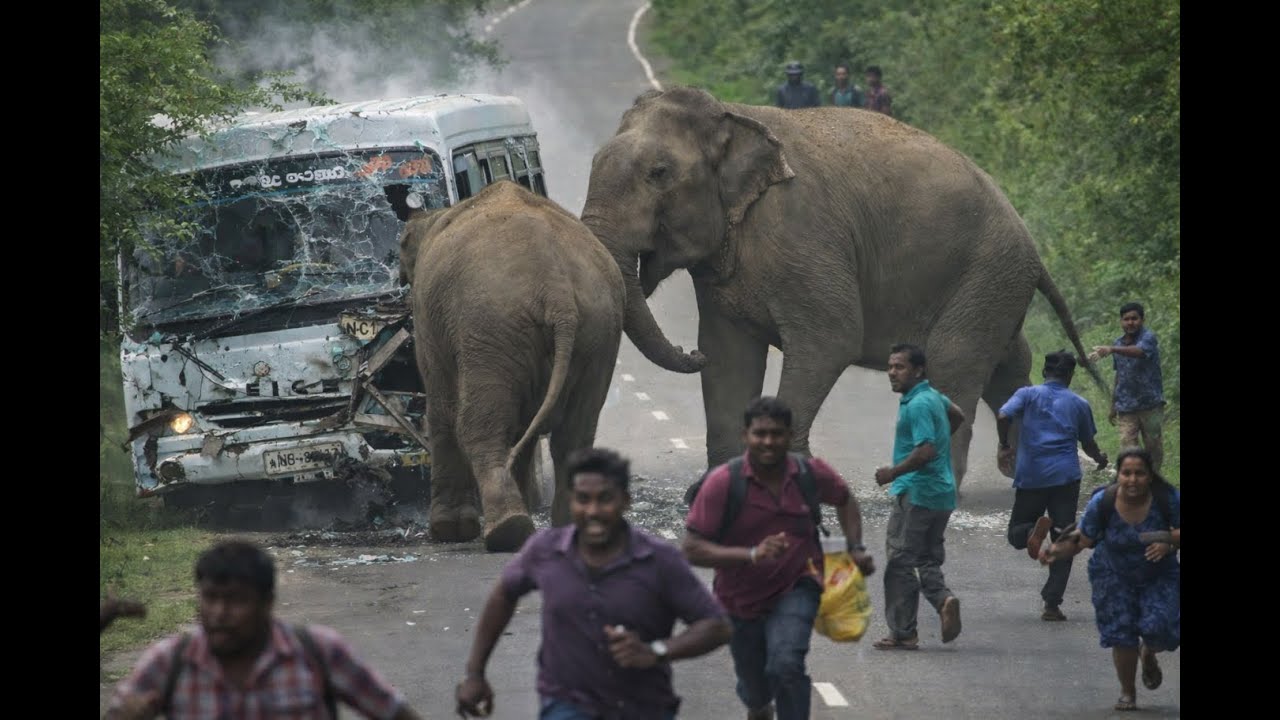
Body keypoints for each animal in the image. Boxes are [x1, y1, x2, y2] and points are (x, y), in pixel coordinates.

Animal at [398, 180, 625, 551]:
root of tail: (557, 290)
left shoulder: (428, 321)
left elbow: (441, 406)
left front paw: (448, 532)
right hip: (599, 331)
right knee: (575, 432)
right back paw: (563, 527)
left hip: (488, 325)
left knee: (479, 426)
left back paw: (508, 531)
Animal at [581, 86, 1105, 490]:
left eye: (659, 174)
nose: (689, 354)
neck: (733, 116)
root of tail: (1030, 244)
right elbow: (729, 355)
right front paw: (715, 486)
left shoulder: (802, 232)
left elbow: (830, 340)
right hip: (993, 283)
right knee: (1007, 362)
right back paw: (1025, 474)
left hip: (987, 271)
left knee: (956, 362)